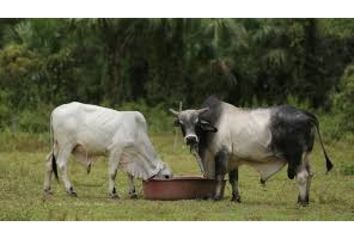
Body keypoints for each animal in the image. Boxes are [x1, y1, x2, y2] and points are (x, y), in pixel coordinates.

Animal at [43, 102, 172, 198]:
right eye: (166, 176)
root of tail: (55, 111)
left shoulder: (128, 156)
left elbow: (130, 175)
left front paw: (133, 192)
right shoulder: (116, 150)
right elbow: (113, 173)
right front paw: (113, 193)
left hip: (56, 146)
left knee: (49, 163)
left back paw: (47, 189)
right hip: (66, 145)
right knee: (61, 164)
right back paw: (70, 190)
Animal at [170, 95, 334, 204]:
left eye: (197, 122)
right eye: (181, 123)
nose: (191, 139)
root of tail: (307, 114)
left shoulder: (221, 154)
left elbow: (219, 176)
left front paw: (216, 197)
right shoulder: (233, 158)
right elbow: (233, 179)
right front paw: (235, 198)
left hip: (296, 155)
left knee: (302, 176)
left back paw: (301, 202)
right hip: (305, 155)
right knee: (310, 174)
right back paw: (304, 199)